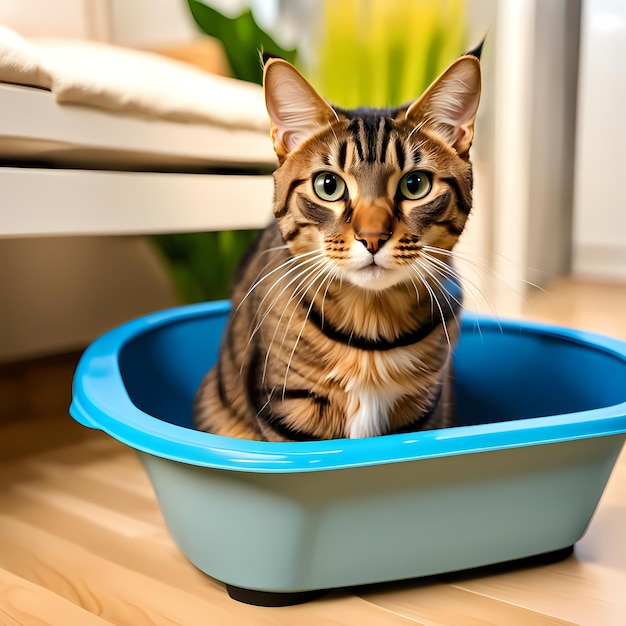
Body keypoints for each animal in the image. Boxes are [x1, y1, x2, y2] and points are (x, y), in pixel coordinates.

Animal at [193, 46, 480, 438]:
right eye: (328, 186)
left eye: (415, 185)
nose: (372, 238)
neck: (372, 322)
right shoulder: (285, 408)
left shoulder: (424, 409)